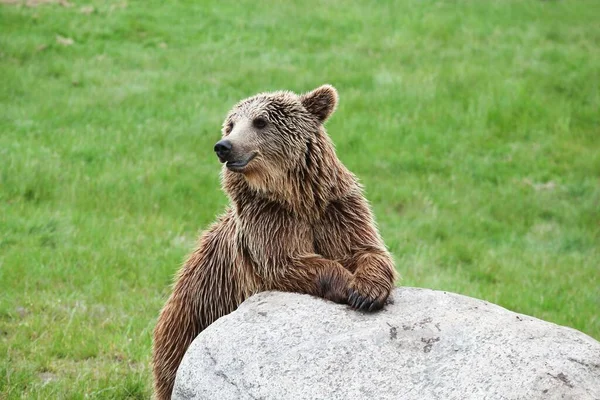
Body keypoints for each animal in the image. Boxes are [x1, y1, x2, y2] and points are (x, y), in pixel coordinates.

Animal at [152, 84, 398, 400]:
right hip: (191, 322)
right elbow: (286, 262)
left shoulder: (335, 209)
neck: (295, 197)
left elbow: (367, 249)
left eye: (260, 121)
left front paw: (367, 291)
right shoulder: (269, 220)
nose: (223, 146)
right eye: (231, 124)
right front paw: (348, 285)